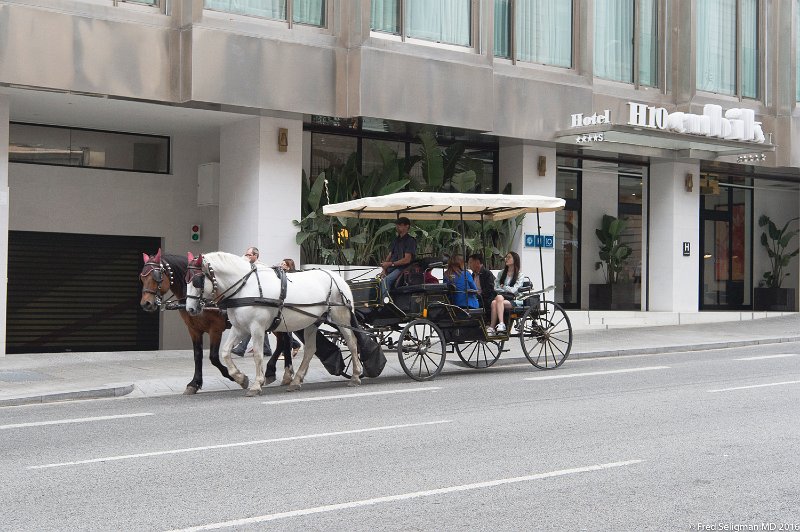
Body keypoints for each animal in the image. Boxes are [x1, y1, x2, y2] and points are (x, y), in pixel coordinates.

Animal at [183, 252, 360, 394]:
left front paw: (256, 384)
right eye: (186, 280)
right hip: (313, 322)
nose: (190, 309)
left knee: (352, 342)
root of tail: (337, 277)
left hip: (341, 317)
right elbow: (225, 352)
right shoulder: (239, 328)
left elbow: (258, 354)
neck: (245, 288)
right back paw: (296, 380)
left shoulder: (257, 328)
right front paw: (241, 378)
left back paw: (356, 375)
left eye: (197, 281)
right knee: (310, 350)